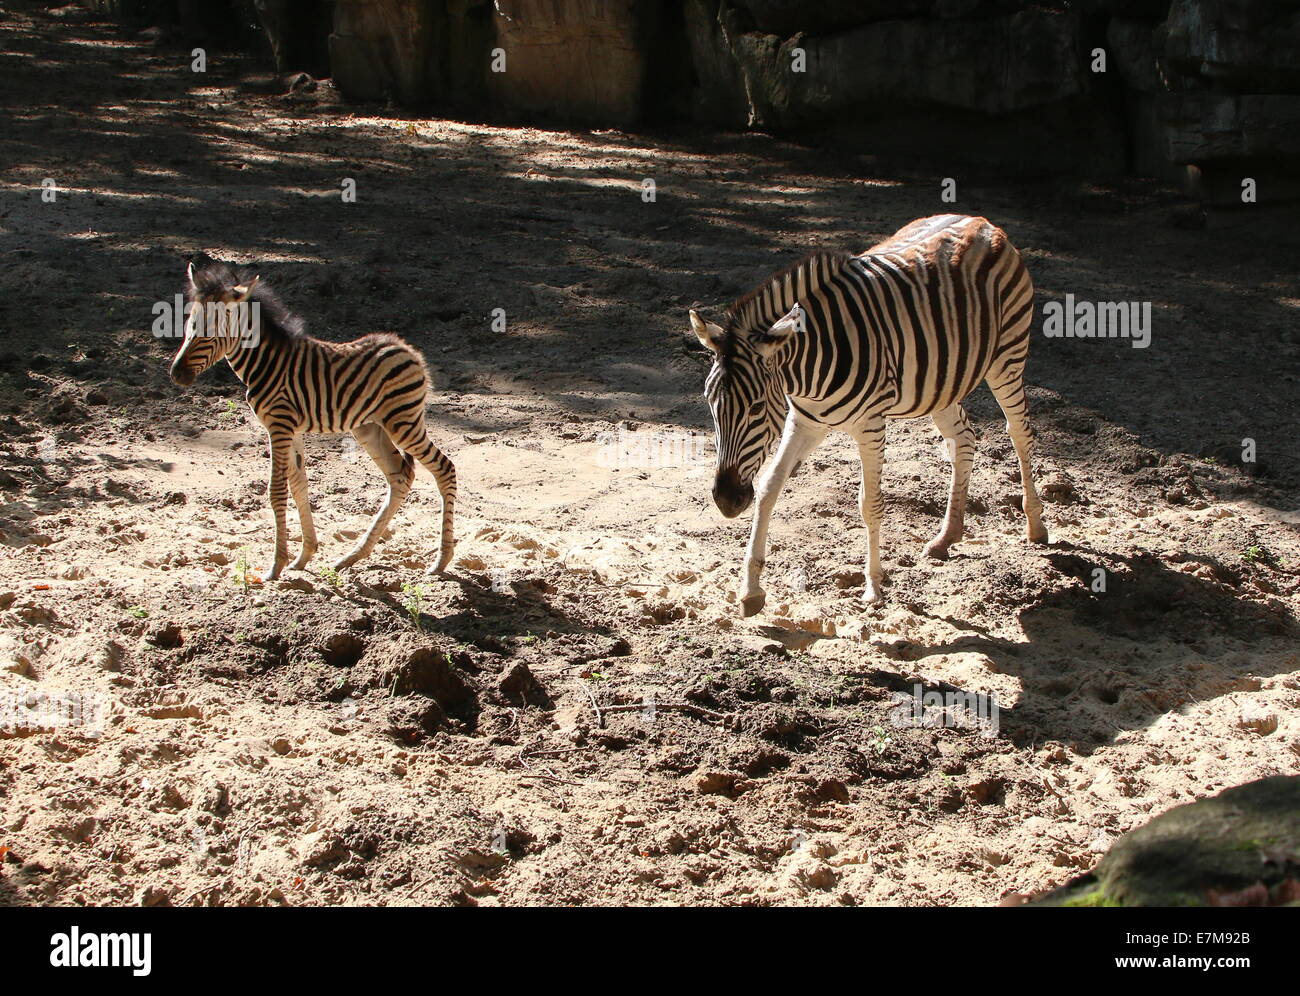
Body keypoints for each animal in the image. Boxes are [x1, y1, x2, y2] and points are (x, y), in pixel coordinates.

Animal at [169, 261, 457, 582]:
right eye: (189, 325)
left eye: (211, 331)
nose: (177, 374)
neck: (267, 363)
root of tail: (410, 351)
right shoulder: (290, 428)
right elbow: (298, 485)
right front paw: (303, 556)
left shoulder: (279, 424)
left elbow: (276, 491)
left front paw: (276, 566)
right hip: (370, 427)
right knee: (400, 477)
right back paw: (353, 557)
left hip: (402, 421)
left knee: (444, 468)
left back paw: (441, 561)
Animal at [691, 215, 1045, 616]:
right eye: (709, 403)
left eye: (755, 408)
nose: (726, 501)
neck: (808, 369)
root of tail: (979, 221)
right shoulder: (805, 422)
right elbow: (769, 488)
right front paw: (750, 590)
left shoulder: (870, 426)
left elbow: (870, 504)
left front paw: (873, 588)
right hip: (942, 381)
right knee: (964, 439)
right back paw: (946, 537)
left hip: (1007, 357)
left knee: (1019, 432)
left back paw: (1035, 526)